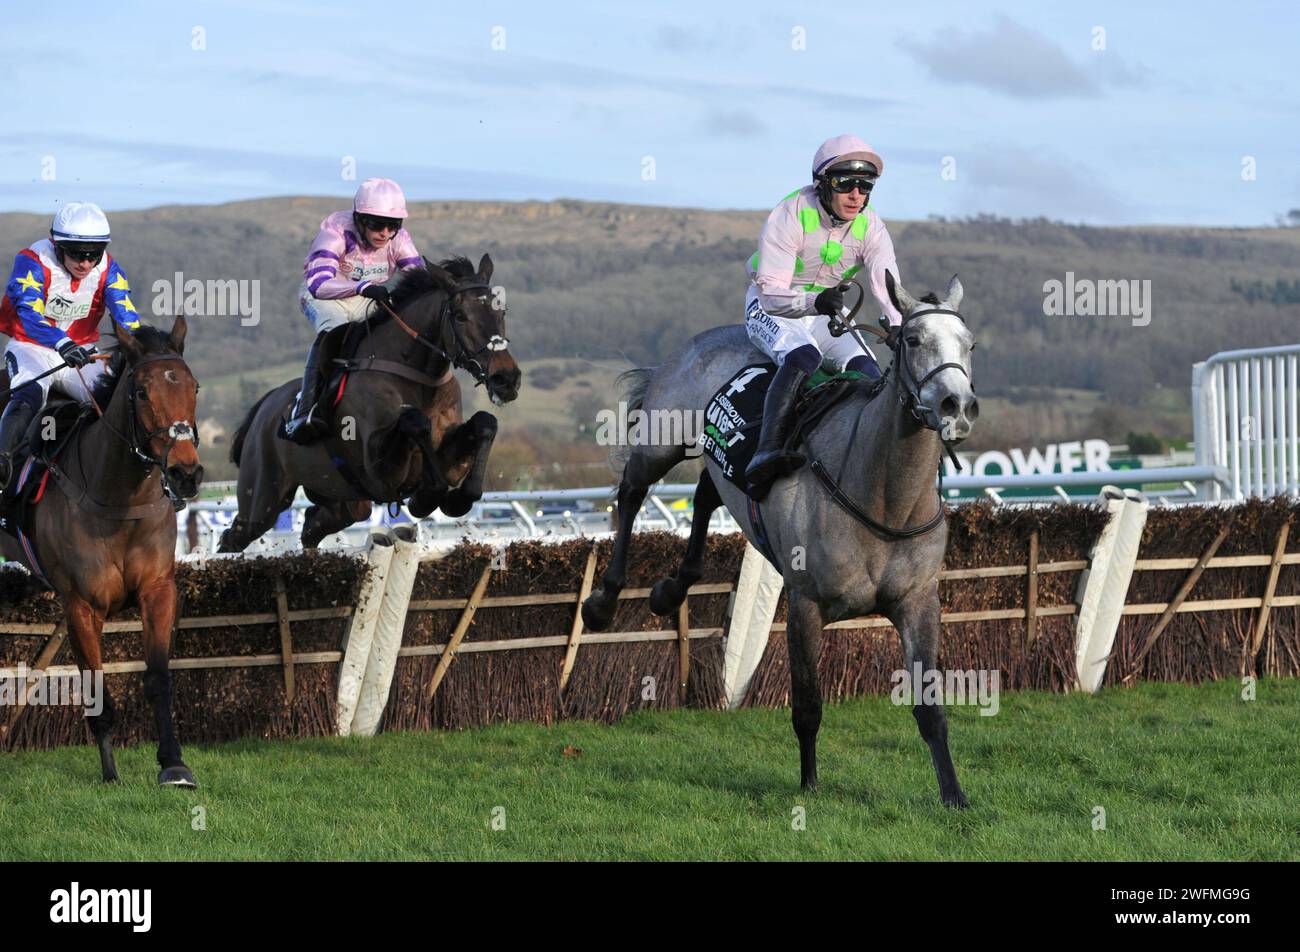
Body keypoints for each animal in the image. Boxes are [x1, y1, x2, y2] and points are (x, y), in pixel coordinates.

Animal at [0, 316, 202, 785]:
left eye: (195, 387)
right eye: (142, 391)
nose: (186, 474)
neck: (116, 500)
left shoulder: (158, 590)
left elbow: (158, 678)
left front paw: (174, 764)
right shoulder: (81, 605)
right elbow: (94, 689)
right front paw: (110, 773)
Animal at [218, 254, 517, 551]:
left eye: (502, 312)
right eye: (460, 315)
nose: (506, 378)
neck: (417, 376)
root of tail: (263, 407)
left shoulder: (447, 455)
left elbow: (485, 422)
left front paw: (461, 497)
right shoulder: (379, 471)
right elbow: (415, 423)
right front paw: (428, 496)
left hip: (345, 501)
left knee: (312, 525)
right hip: (262, 500)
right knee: (234, 536)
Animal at [585, 271, 977, 806]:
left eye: (969, 343)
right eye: (913, 339)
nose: (957, 405)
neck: (883, 497)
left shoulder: (918, 602)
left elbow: (930, 708)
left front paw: (954, 796)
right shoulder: (805, 603)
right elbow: (808, 704)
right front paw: (809, 784)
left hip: (721, 465)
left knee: (707, 495)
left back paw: (673, 588)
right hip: (662, 440)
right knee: (631, 492)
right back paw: (604, 600)